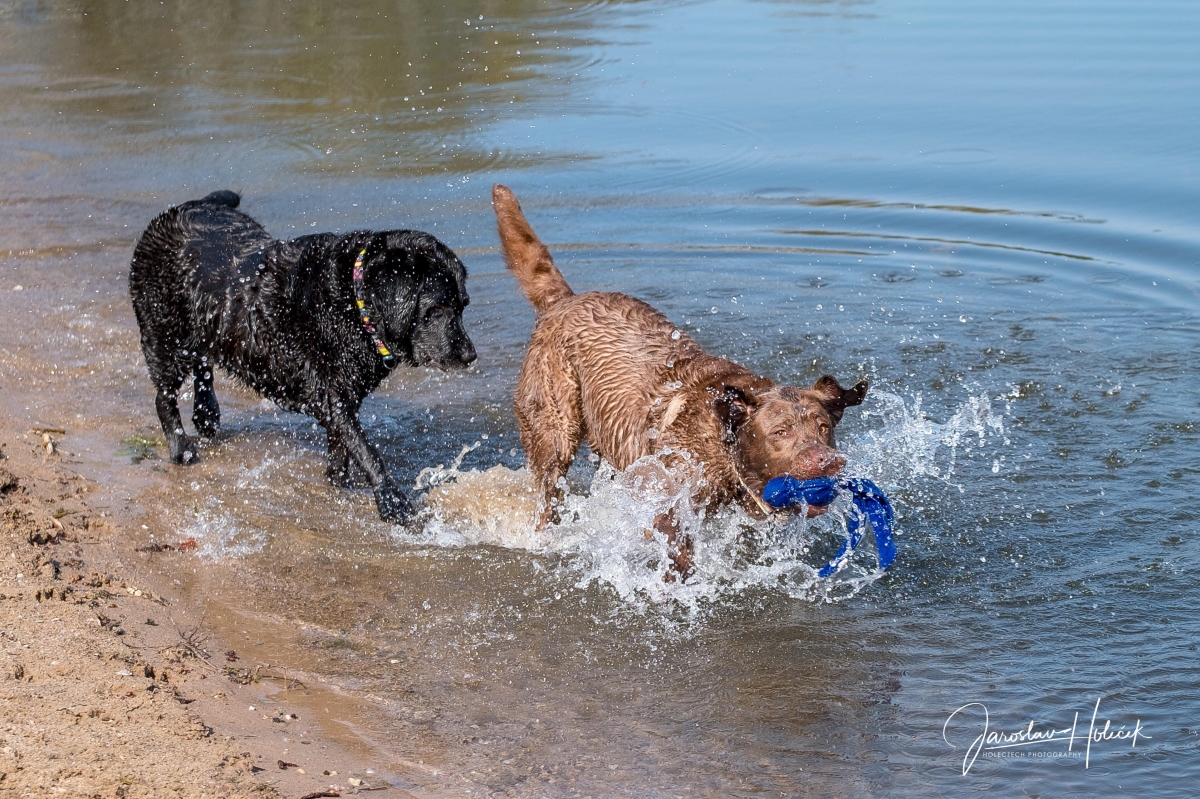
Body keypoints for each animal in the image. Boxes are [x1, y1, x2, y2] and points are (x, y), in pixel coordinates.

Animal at [126, 189, 472, 520]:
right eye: (435, 310)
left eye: (462, 306)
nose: (470, 356)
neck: (351, 302)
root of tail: (184, 207)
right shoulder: (332, 396)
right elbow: (367, 449)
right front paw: (392, 501)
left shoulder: (343, 399)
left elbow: (343, 447)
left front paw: (340, 481)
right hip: (164, 336)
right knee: (164, 397)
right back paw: (181, 448)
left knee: (203, 366)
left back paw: (207, 413)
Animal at [492, 187, 868, 573]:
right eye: (780, 432)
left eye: (823, 427)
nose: (828, 461)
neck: (722, 439)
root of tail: (563, 302)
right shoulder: (666, 493)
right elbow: (675, 540)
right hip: (554, 430)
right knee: (548, 489)